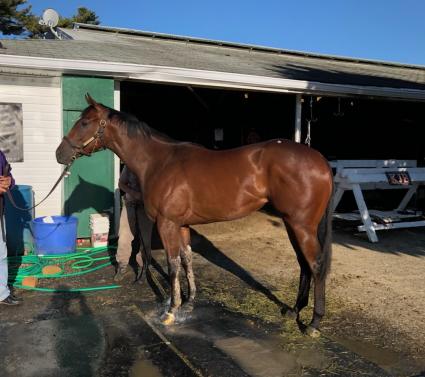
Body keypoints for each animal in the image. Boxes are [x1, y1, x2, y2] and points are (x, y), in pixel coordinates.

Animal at [56, 94, 332, 334]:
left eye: (84, 122)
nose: (60, 154)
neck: (159, 162)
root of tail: (321, 161)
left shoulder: (166, 224)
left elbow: (172, 263)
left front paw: (171, 310)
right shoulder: (182, 225)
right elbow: (187, 258)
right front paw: (189, 302)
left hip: (302, 225)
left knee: (316, 265)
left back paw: (314, 324)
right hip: (291, 223)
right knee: (303, 264)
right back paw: (294, 310)